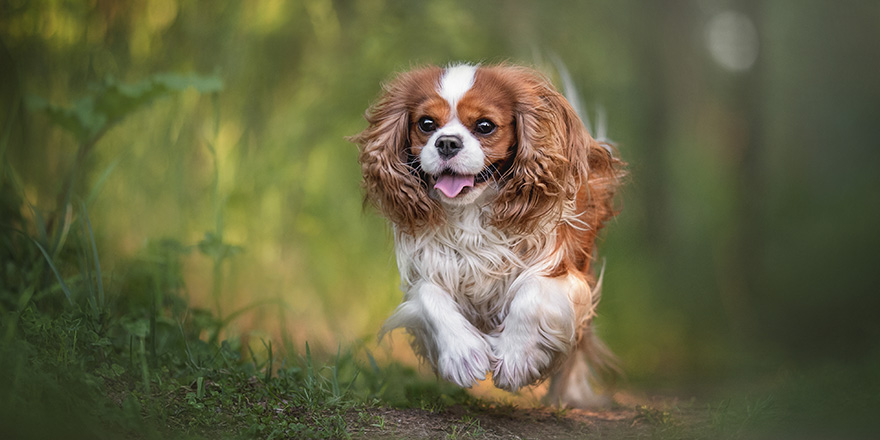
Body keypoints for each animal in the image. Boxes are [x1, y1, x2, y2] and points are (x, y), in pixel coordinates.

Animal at [352, 63, 624, 408]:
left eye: (484, 126)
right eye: (426, 124)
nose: (447, 142)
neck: (471, 214)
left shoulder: (563, 272)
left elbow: (532, 293)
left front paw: (515, 357)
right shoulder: (426, 268)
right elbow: (429, 296)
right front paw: (462, 354)